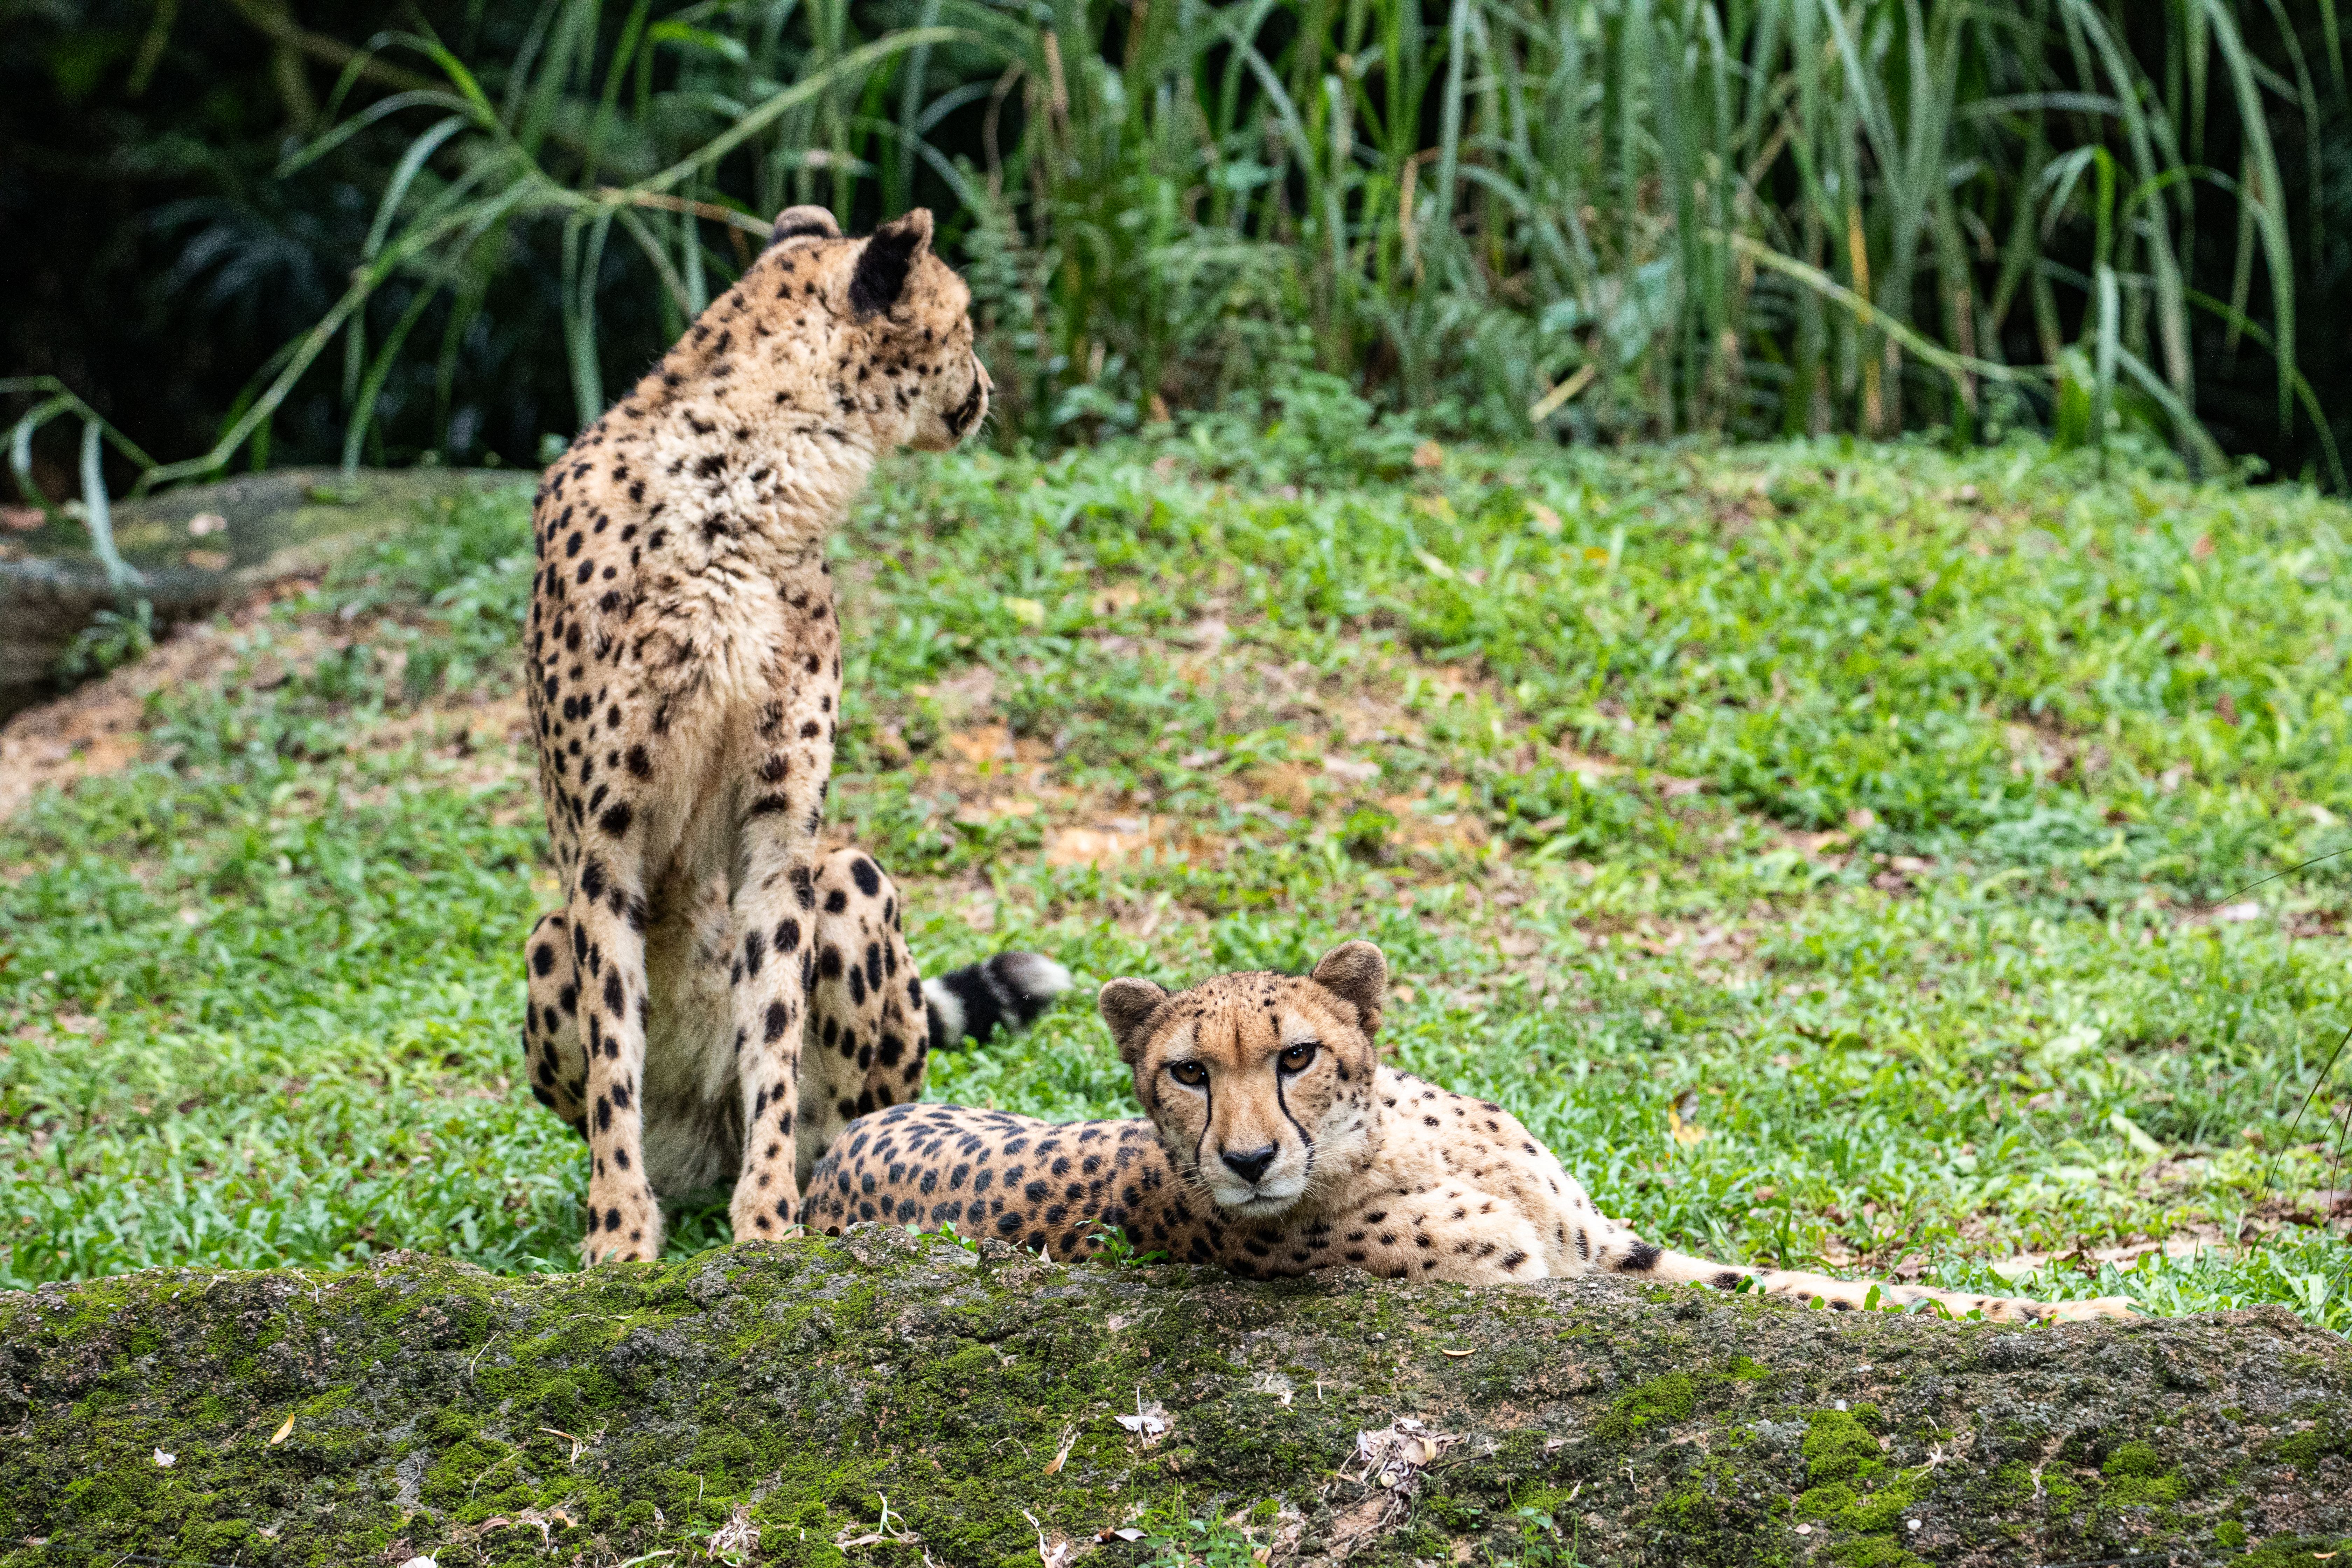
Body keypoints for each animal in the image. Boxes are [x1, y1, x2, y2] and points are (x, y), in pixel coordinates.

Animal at [520, 201, 1006, 1263]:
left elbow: (774, 1027)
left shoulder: (784, 835)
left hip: (851, 878)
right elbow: (614, 1050)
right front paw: (618, 1236)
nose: (987, 389)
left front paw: (772, 1221)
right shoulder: (603, 845)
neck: (745, 486)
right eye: (962, 324)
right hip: (545, 936)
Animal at [805, 941, 2135, 1323]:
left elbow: (1826, 1285)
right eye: (1186, 1074)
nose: (1249, 1158)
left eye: (1294, 1056)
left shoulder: (1607, 1246)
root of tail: (828, 1161)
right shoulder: (1545, 1280)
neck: (1394, 1142)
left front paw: (2089, 1310)